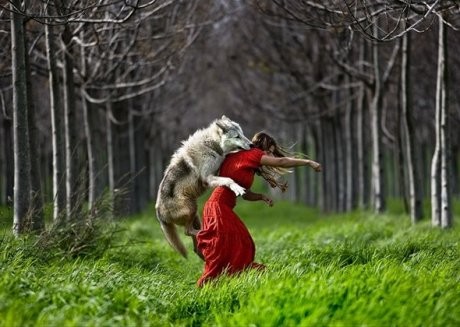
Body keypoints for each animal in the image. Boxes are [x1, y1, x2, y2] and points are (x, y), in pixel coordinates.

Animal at [156, 116, 253, 260]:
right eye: (237, 136)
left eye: (243, 134)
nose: (252, 145)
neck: (212, 145)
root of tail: (159, 214)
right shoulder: (208, 178)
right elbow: (229, 180)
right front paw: (237, 188)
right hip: (192, 207)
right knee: (188, 232)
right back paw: (207, 233)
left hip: (195, 214)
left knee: (193, 242)